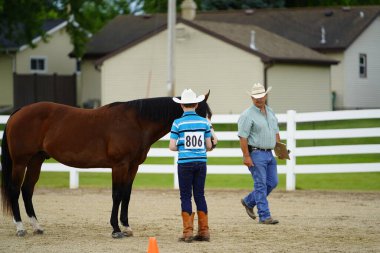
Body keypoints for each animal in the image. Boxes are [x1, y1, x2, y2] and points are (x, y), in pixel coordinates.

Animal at [0, 92, 211, 237]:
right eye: (199, 114)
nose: (212, 142)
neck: (136, 122)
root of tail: (19, 111)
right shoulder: (119, 165)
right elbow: (116, 194)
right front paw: (116, 229)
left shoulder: (132, 166)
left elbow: (126, 195)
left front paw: (127, 227)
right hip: (20, 162)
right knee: (15, 190)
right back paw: (20, 228)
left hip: (36, 160)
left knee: (27, 190)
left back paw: (37, 226)